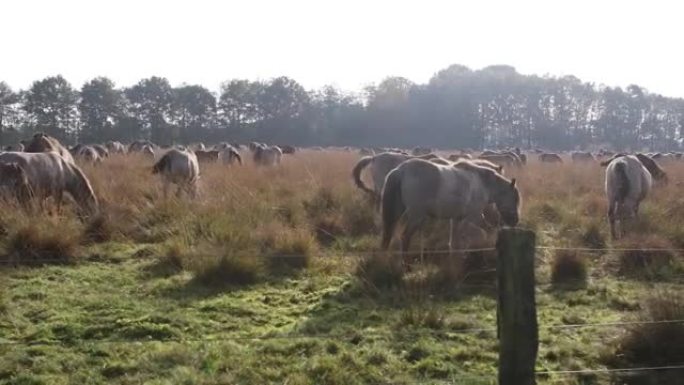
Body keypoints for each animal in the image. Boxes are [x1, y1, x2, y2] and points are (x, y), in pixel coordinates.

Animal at [380, 157, 520, 264]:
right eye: (514, 198)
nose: (515, 221)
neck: (483, 184)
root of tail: (401, 170)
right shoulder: (473, 217)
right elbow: (487, 231)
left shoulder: (456, 219)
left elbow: (453, 242)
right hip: (416, 216)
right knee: (405, 237)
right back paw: (406, 266)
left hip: (398, 213)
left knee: (388, 235)